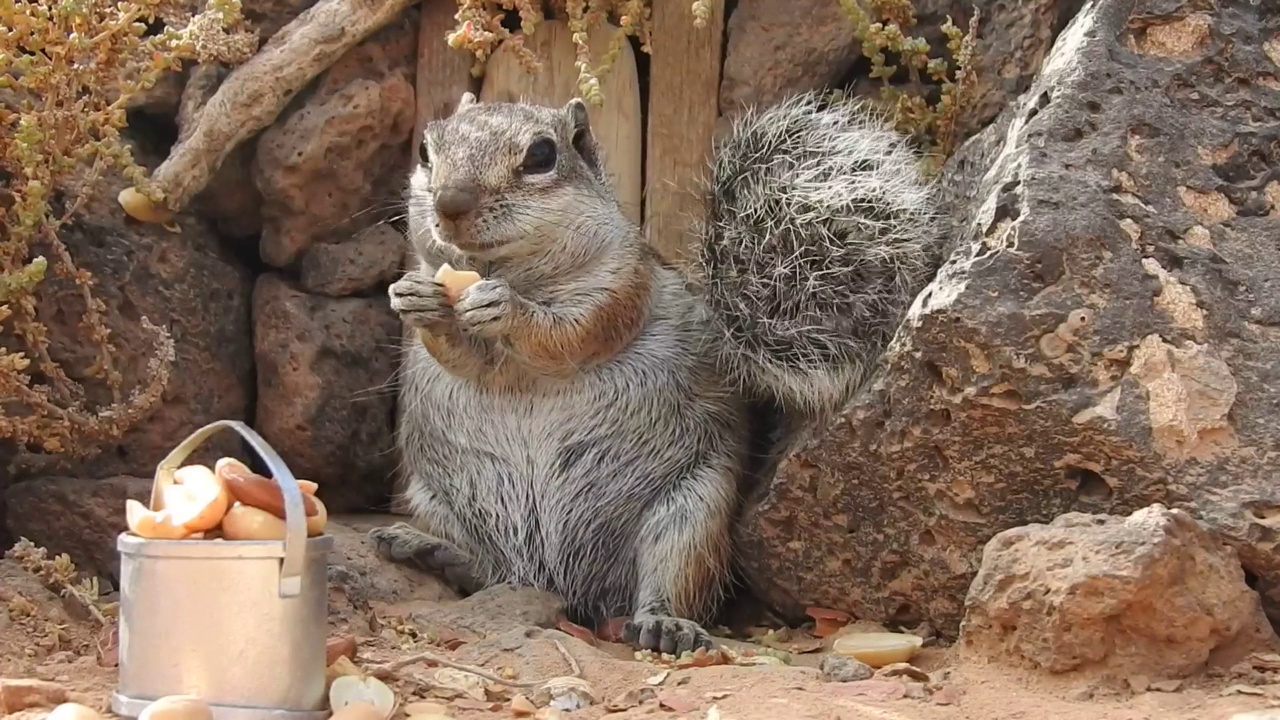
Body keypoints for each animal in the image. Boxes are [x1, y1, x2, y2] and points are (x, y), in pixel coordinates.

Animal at [371, 88, 942, 650]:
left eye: (542, 155)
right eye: (425, 149)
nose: (450, 204)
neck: (505, 272)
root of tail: (568, 587)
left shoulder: (622, 287)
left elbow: (567, 335)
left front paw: (508, 309)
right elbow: (457, 355)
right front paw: (415, 299)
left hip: (692, 516)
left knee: (672, 583)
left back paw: (664, 623)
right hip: (436, 501)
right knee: (494, 572)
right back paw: (433, 551)